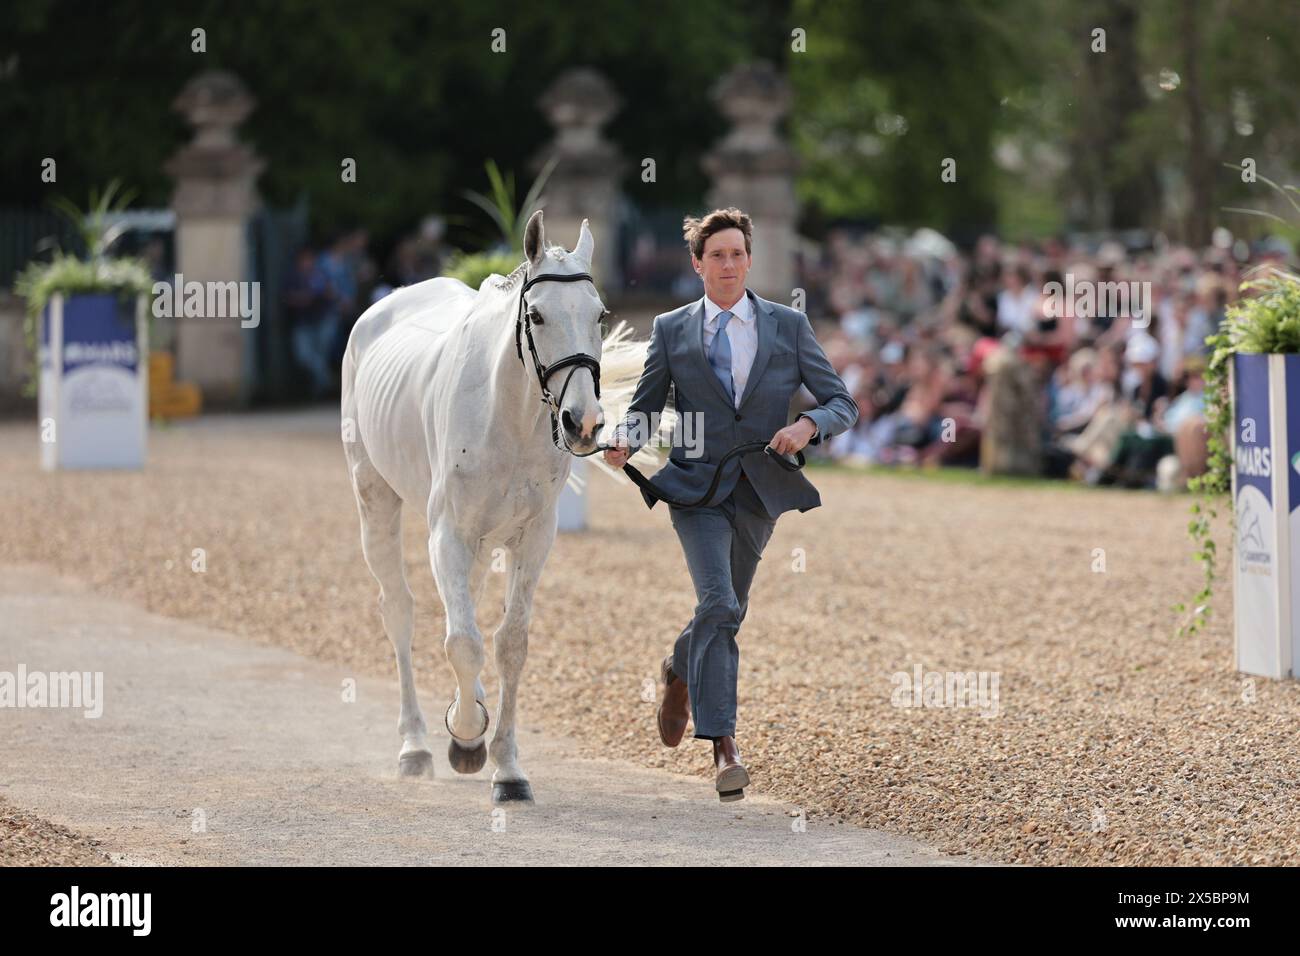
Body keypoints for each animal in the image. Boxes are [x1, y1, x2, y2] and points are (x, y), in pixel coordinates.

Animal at [343, 213, 650, 806]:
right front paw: (465, 736)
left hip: (482, 542)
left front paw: (506, 770)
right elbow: (463, 643)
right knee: (400, 610)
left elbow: (509, 644)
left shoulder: (534, 537)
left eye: (600, 315)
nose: (584, 422)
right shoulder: (448, 535)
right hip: (375, 500)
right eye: (537, 314)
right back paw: (416, 746)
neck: (506, 415)